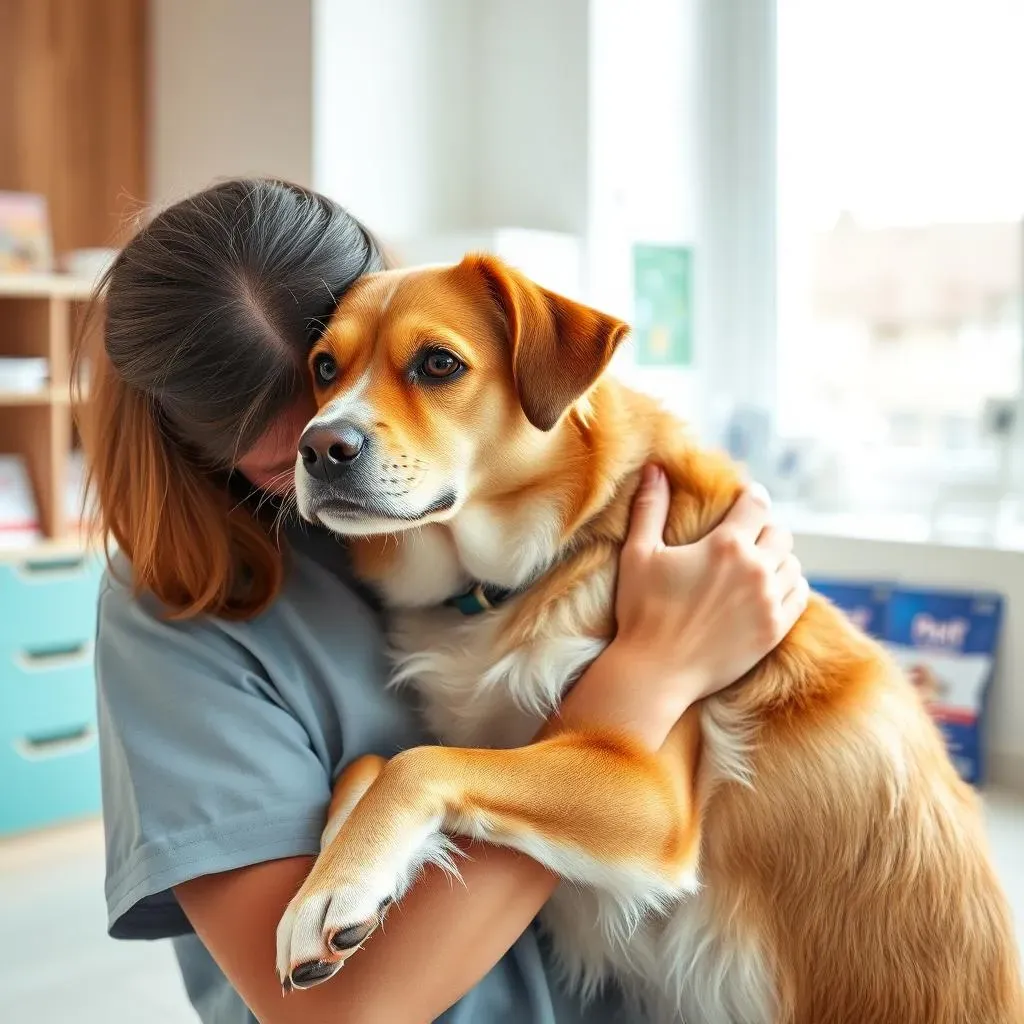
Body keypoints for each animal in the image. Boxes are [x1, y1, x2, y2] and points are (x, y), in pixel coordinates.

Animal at [276, 256, 1019, 1024]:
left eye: (439, 363)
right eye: (324, 367)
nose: (318, 447)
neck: (529, 571)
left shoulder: (653, 799)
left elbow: (416, 762)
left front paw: (335, 884)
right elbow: (369, 761)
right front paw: (346, 863)